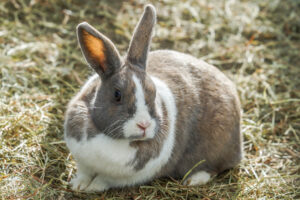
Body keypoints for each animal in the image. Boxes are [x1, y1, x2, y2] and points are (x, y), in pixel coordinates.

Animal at [64, 4, 243, 192]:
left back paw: (193, 180)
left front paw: (93, 187)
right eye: (117, 95)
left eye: (153, 92)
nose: (144, 125)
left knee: (213, 167)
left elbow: (104, 180)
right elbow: (84, 172)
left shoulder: (120, 178)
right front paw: (78, 185)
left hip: (214, 148)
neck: (110, 138)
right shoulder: (83, 162)